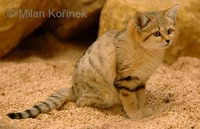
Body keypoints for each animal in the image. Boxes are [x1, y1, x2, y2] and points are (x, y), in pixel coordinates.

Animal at [7, 5, 178, 120]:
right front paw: (135, 115)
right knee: (81, 103)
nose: (168, 40)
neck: (147, 51)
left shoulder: (141, 80)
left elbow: (140, 97)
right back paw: (115, 108)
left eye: (169, 31)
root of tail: (74, 89)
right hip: (104, 93)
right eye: (157, 33)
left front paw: (142, 111)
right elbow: (130, 100)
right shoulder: (125, 80)